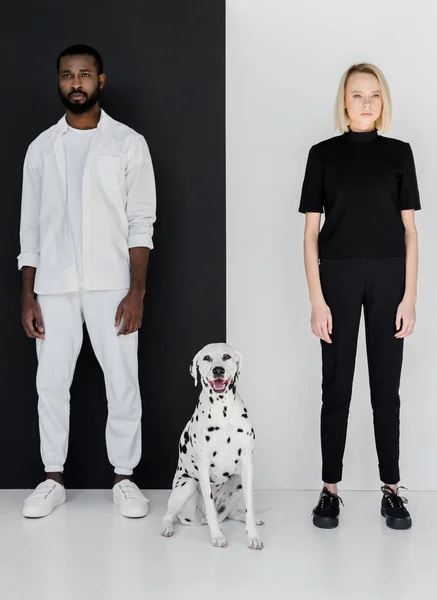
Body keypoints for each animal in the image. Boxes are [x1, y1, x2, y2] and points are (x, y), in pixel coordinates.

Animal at [160, 344, 262, 552]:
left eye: (226, 356)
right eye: (207, 358)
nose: (218, 370)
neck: (222, 410)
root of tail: (200, 520)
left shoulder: (247, 463)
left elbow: (249, 505)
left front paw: (253, 535)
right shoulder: (204, 465)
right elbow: (208, 502)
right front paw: (217, 536)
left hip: (238, 481)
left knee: (231, 513)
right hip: (187, 485)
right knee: (169, 515)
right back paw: (168, 527)